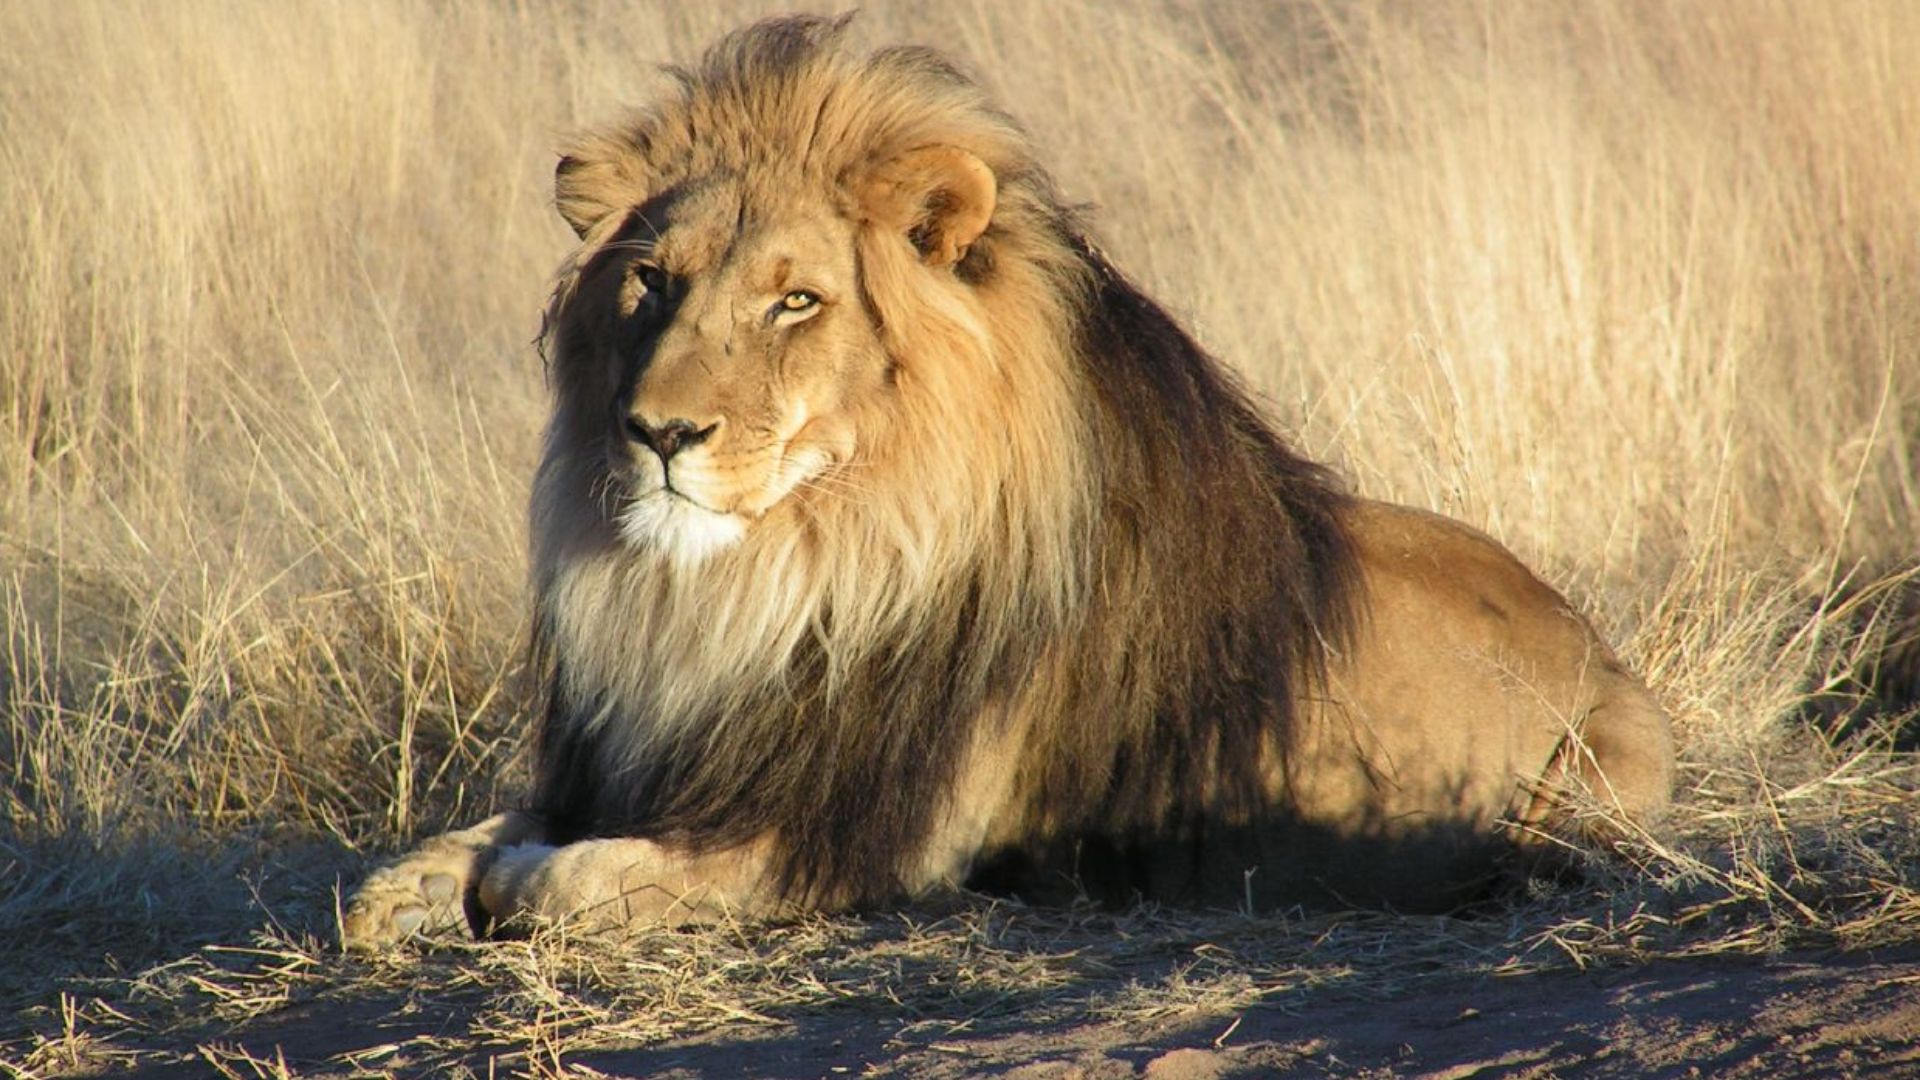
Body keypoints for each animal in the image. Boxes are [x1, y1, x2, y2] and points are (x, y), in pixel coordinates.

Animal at [341, 16, 1673, 949]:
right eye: (652, 283)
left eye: (796, 300)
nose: (658, 432)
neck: (771, 579)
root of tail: (1591, 636)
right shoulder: (649, 759)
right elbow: (453, 848)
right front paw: (413, 888)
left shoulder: (856, 839)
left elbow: (565, 880)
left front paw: (510, 882)